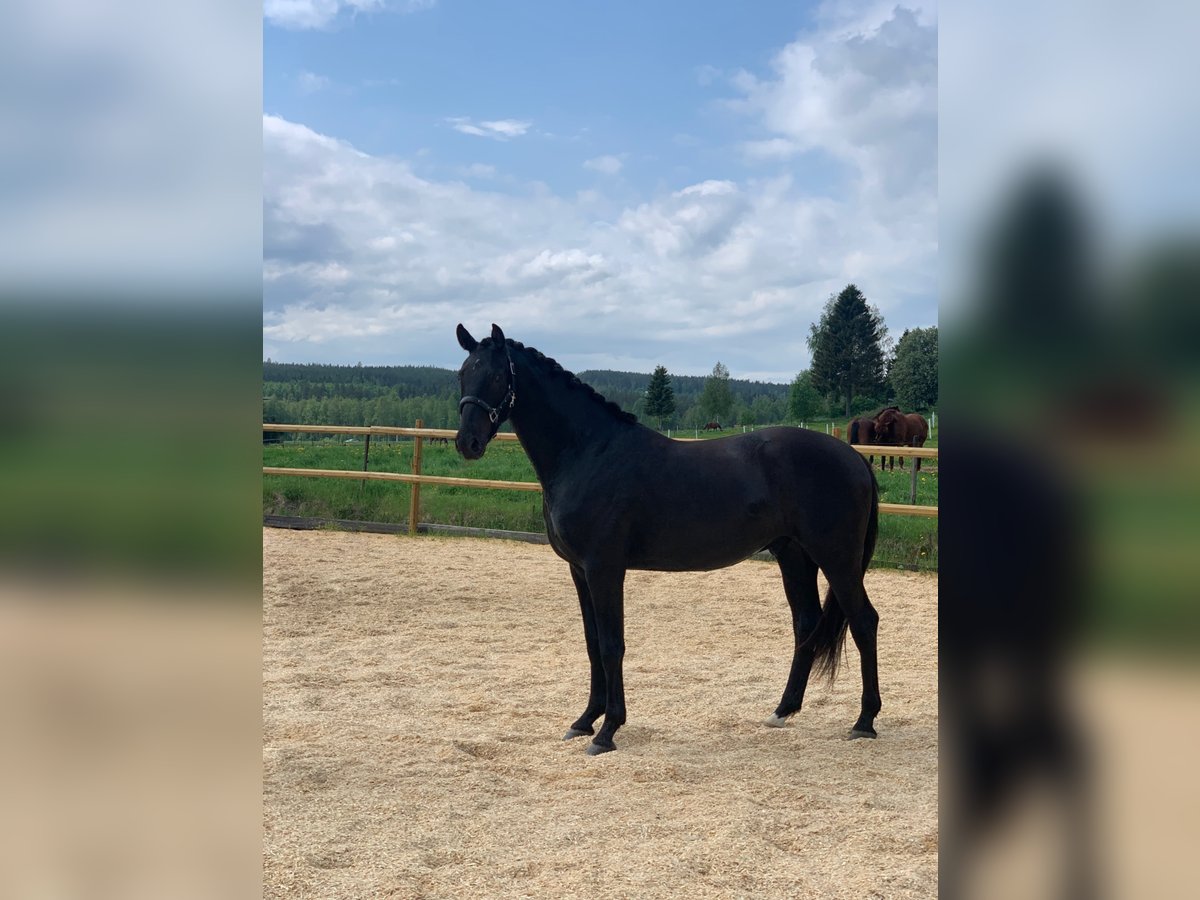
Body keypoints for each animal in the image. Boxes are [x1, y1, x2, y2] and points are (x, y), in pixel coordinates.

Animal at [451, 328, 883, 758]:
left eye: (495, 376)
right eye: (462, 374)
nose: (467, 443)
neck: (590, 453)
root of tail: (854, 457)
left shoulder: (604, 568)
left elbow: (611, 645)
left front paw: (607, 731)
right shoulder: (579, 570)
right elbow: (592, 644)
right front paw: (584, 720)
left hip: (837, 558)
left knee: (864, 621)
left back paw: (864, 721)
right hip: (794, 555)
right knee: (806, 623)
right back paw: (782, 710)